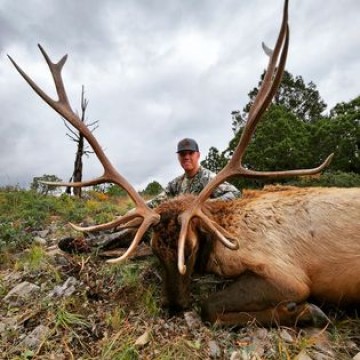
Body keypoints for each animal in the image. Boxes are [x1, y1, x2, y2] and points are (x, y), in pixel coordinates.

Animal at [9, 0, 360, 326]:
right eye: (154, 250)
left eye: (188, 250)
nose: (177, 306)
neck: (219, 233)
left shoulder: (287, 275)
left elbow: (210, 307)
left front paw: (307, 311)